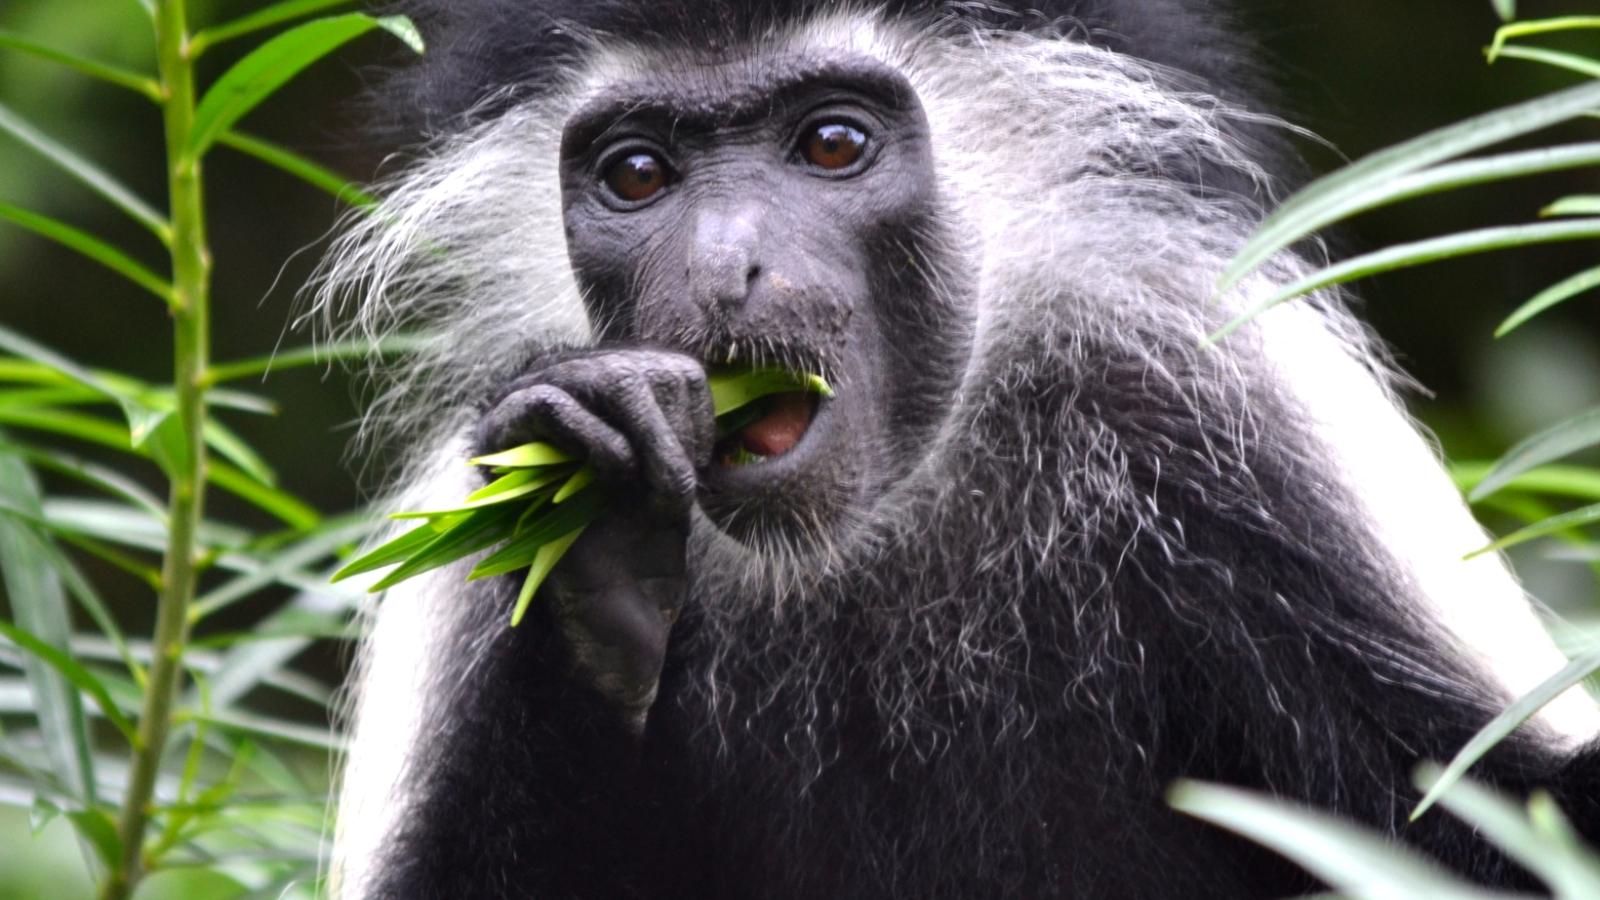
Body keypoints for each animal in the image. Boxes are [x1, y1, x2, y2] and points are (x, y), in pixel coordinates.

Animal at [315, 3, 1600, 890]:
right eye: (638, 173)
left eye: (832, 145)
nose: (723, 266)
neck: (864, 538)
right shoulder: (463, 511)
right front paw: (590, 530)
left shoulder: (1231, 415)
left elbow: (1505, 815)